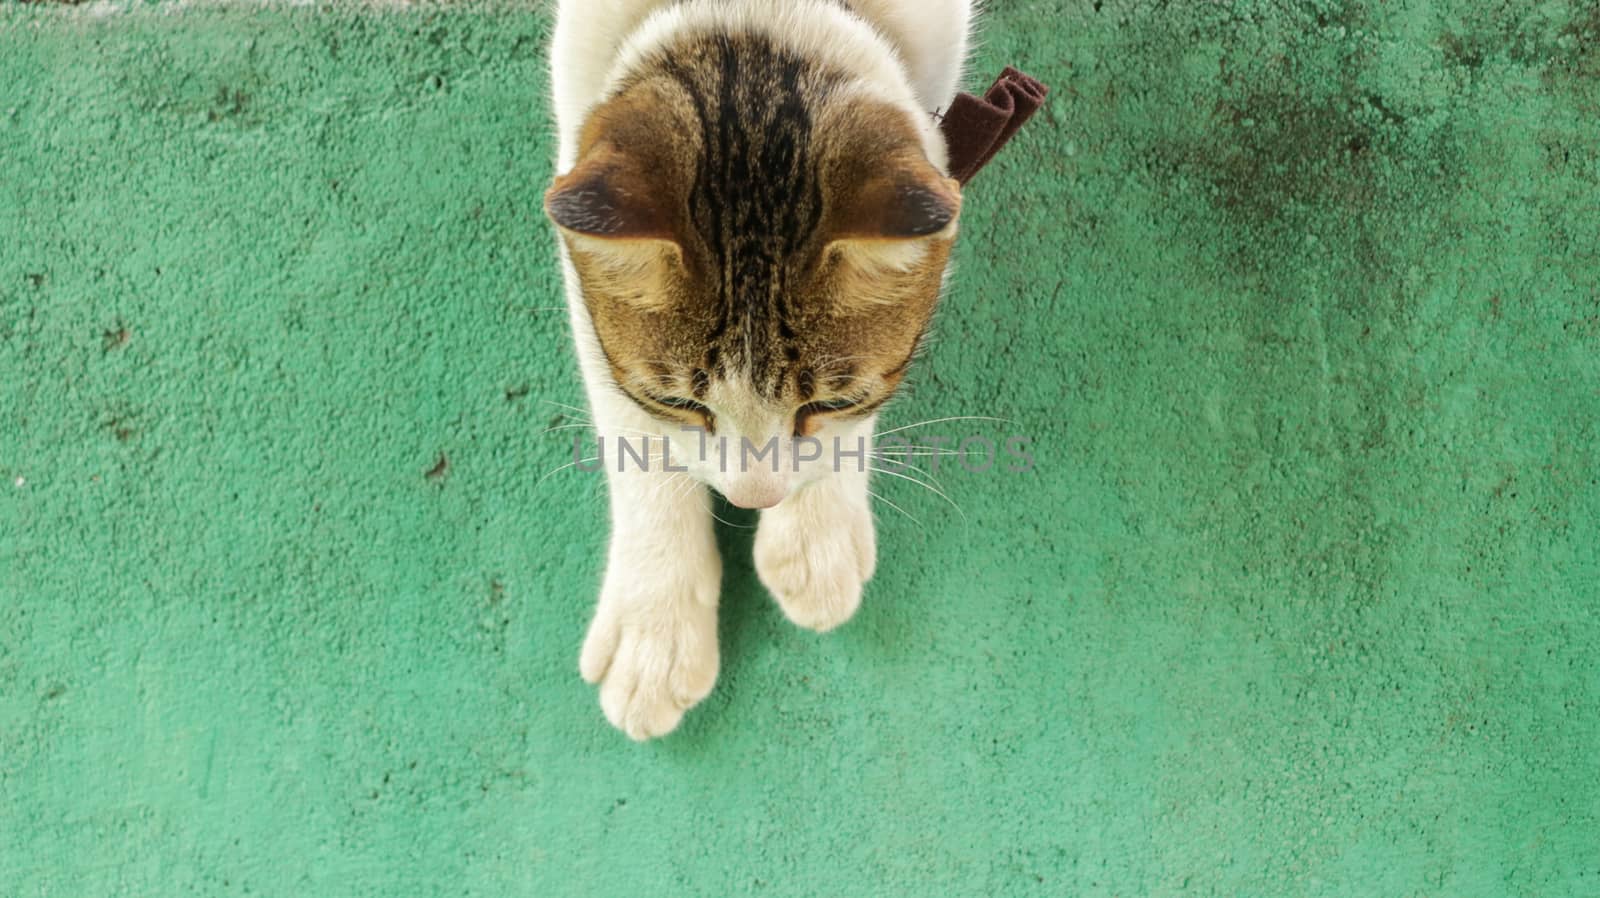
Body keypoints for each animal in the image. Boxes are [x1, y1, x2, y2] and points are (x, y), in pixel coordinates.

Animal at [550, 0, 966, 739]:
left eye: (828, 404)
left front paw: (817, 534)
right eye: (680, 404)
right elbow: (631, 430)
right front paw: (655, 626)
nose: (754, 500)